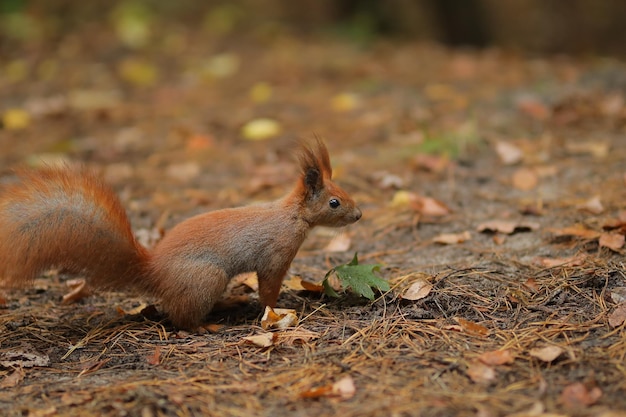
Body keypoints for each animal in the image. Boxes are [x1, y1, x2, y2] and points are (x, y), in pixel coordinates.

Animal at [0, 140, 360, 328]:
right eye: (334, 202)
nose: (358, 215)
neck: (292, 216)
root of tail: (154, 272)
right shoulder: (275, 255)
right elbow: (269, 287)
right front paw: (277, 309)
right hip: (206, 278)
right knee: (182, 318)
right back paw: (205, 325)